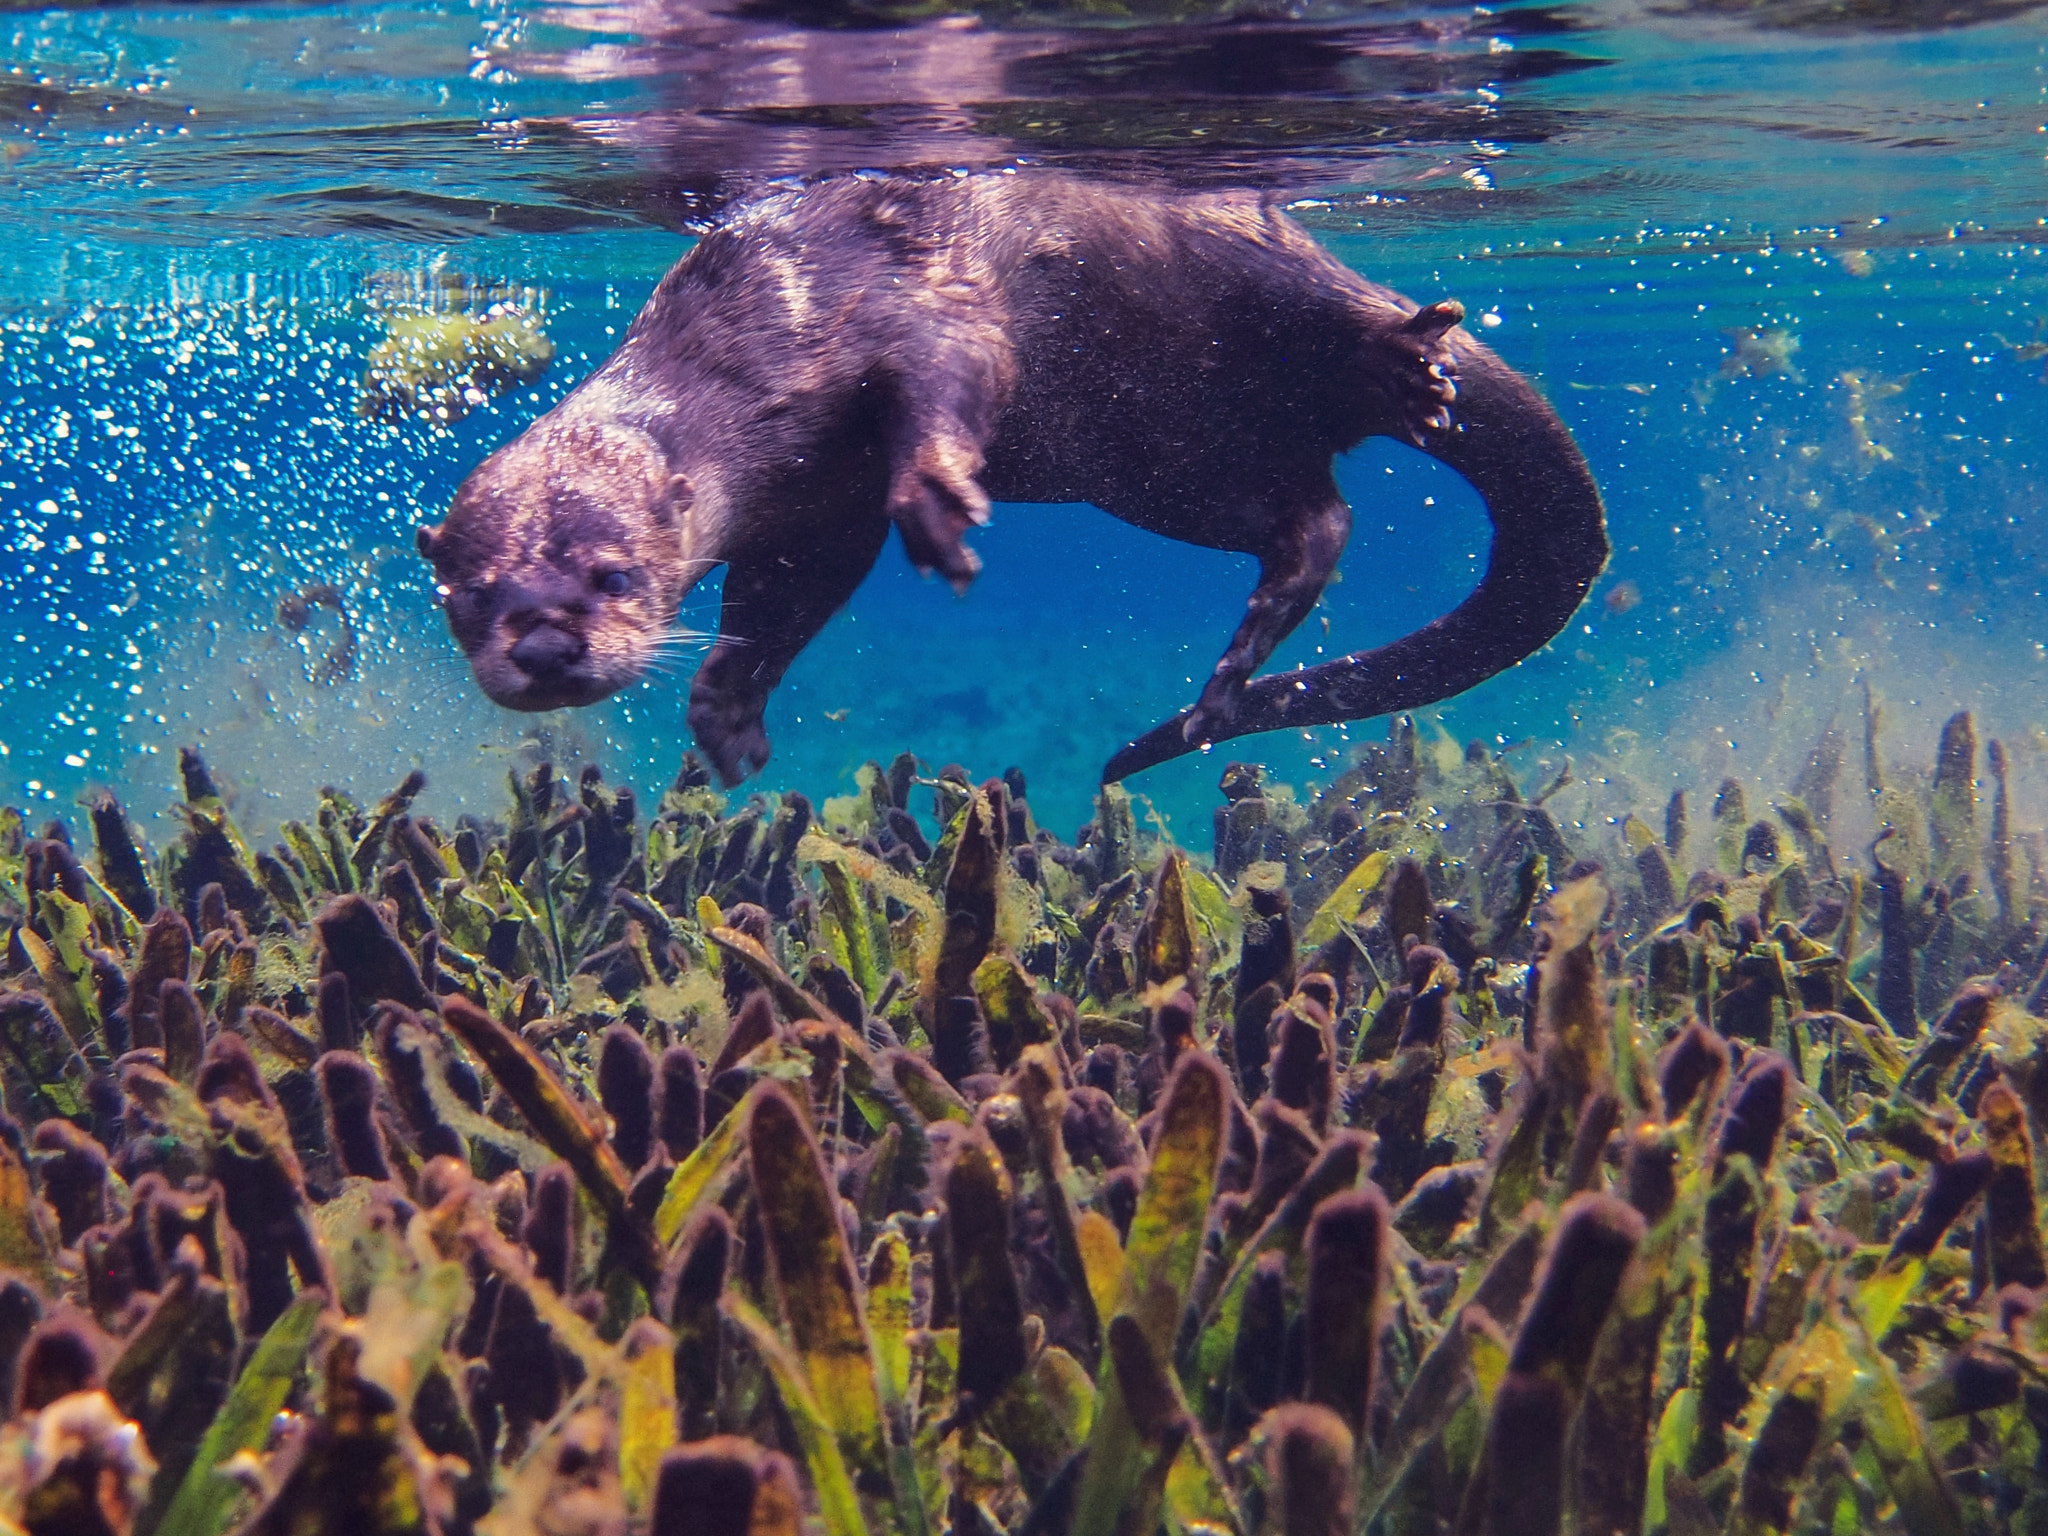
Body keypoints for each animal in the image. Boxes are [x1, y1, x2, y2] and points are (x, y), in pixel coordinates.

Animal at [418, 173, 1607, 787]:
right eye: (467, 599)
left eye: (613, 576)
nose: (544, 646)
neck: (740, 360)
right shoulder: (809, 512)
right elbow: (782, 600)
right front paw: (724, 712)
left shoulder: (897, 306)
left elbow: (953, 372)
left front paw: (938, 498)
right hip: (1160, 464)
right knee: (1315, 513)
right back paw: (1240, 651)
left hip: (1241, 263)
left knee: (1334, 343)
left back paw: (1402, 367)